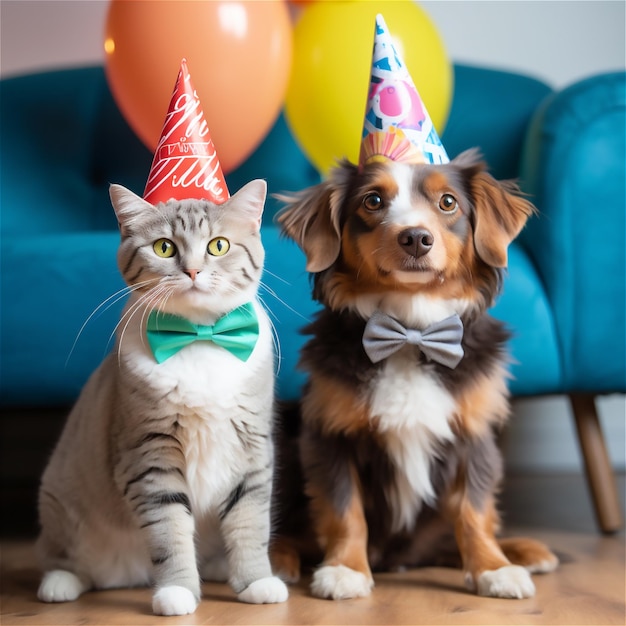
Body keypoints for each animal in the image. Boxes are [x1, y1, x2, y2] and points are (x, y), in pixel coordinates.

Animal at [36, 177, 286, 616]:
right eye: (164, 248)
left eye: (218, 245)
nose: (193, 270)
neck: (200, 337)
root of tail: (128, 574)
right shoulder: (151, 456)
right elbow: (169, 533)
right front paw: (177, 591)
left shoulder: (252, 449)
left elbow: (249, 523)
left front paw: (255, 581)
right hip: (59, 501)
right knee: (64, 559)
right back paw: (60, 583)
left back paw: (220, 568)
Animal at [272, 150, 556, 600]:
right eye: (372, 201)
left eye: (447, 202)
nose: (416, 238)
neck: (411, 331)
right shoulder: (330, 436)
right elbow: (343, 509)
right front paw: (345, 569)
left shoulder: (474, 435)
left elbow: (474, 511)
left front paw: (493, 568)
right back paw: (277, 559)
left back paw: (521, 550)